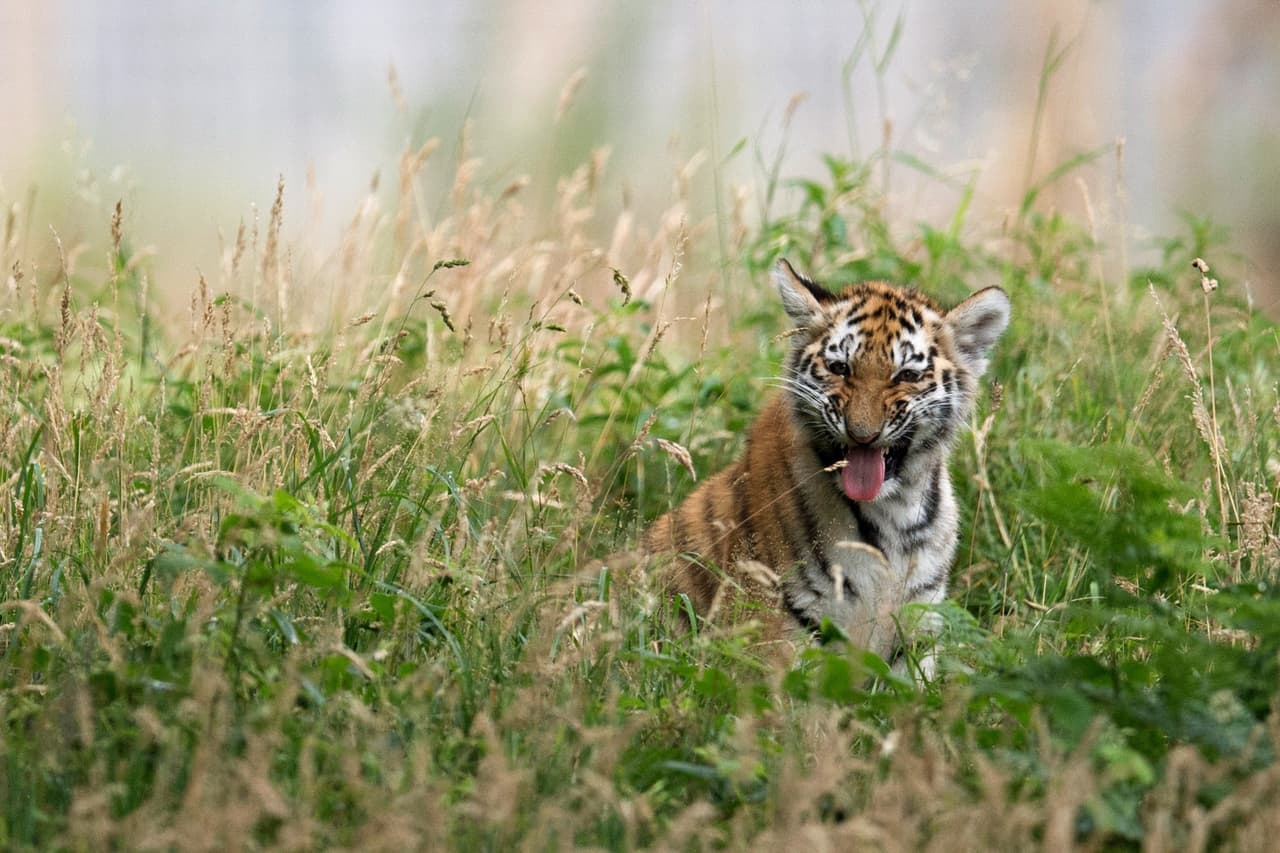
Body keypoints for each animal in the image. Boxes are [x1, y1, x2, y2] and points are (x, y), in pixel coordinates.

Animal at [640, 259, 1010, 678]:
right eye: (840, 368)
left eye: (907, 375)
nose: (863, 434)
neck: (895, 509)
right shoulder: (781, 636)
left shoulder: (916, 634)